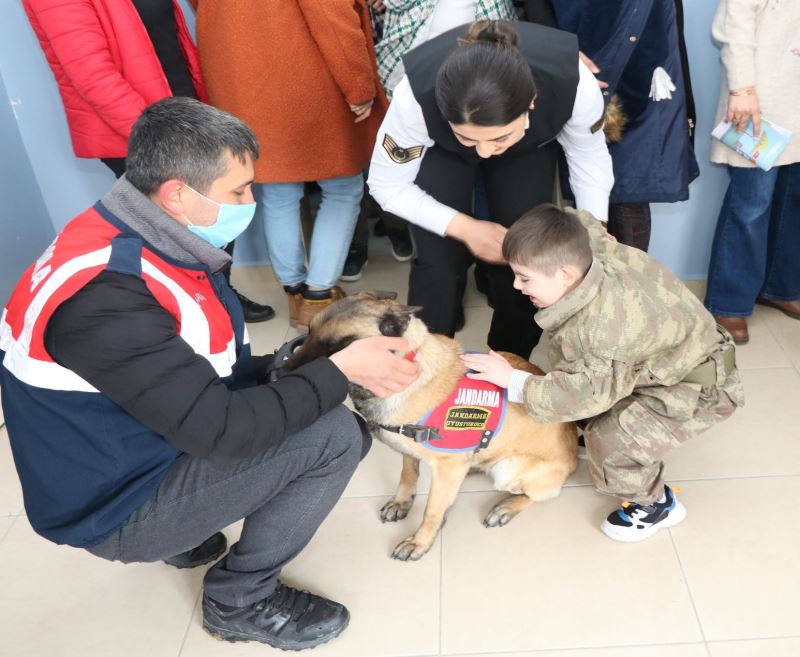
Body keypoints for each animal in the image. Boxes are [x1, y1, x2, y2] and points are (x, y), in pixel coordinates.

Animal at [286, 292, 576, 560]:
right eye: (308, 331)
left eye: (339, 348)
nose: (280, 373)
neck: (408, 368)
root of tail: (574, 459)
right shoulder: (411, 452)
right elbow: (408, 474)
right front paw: (402, 503)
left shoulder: (446, 470)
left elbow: (432, 511)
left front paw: (419, 542)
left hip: (509, 471)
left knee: (538, 495)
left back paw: (506, 507)